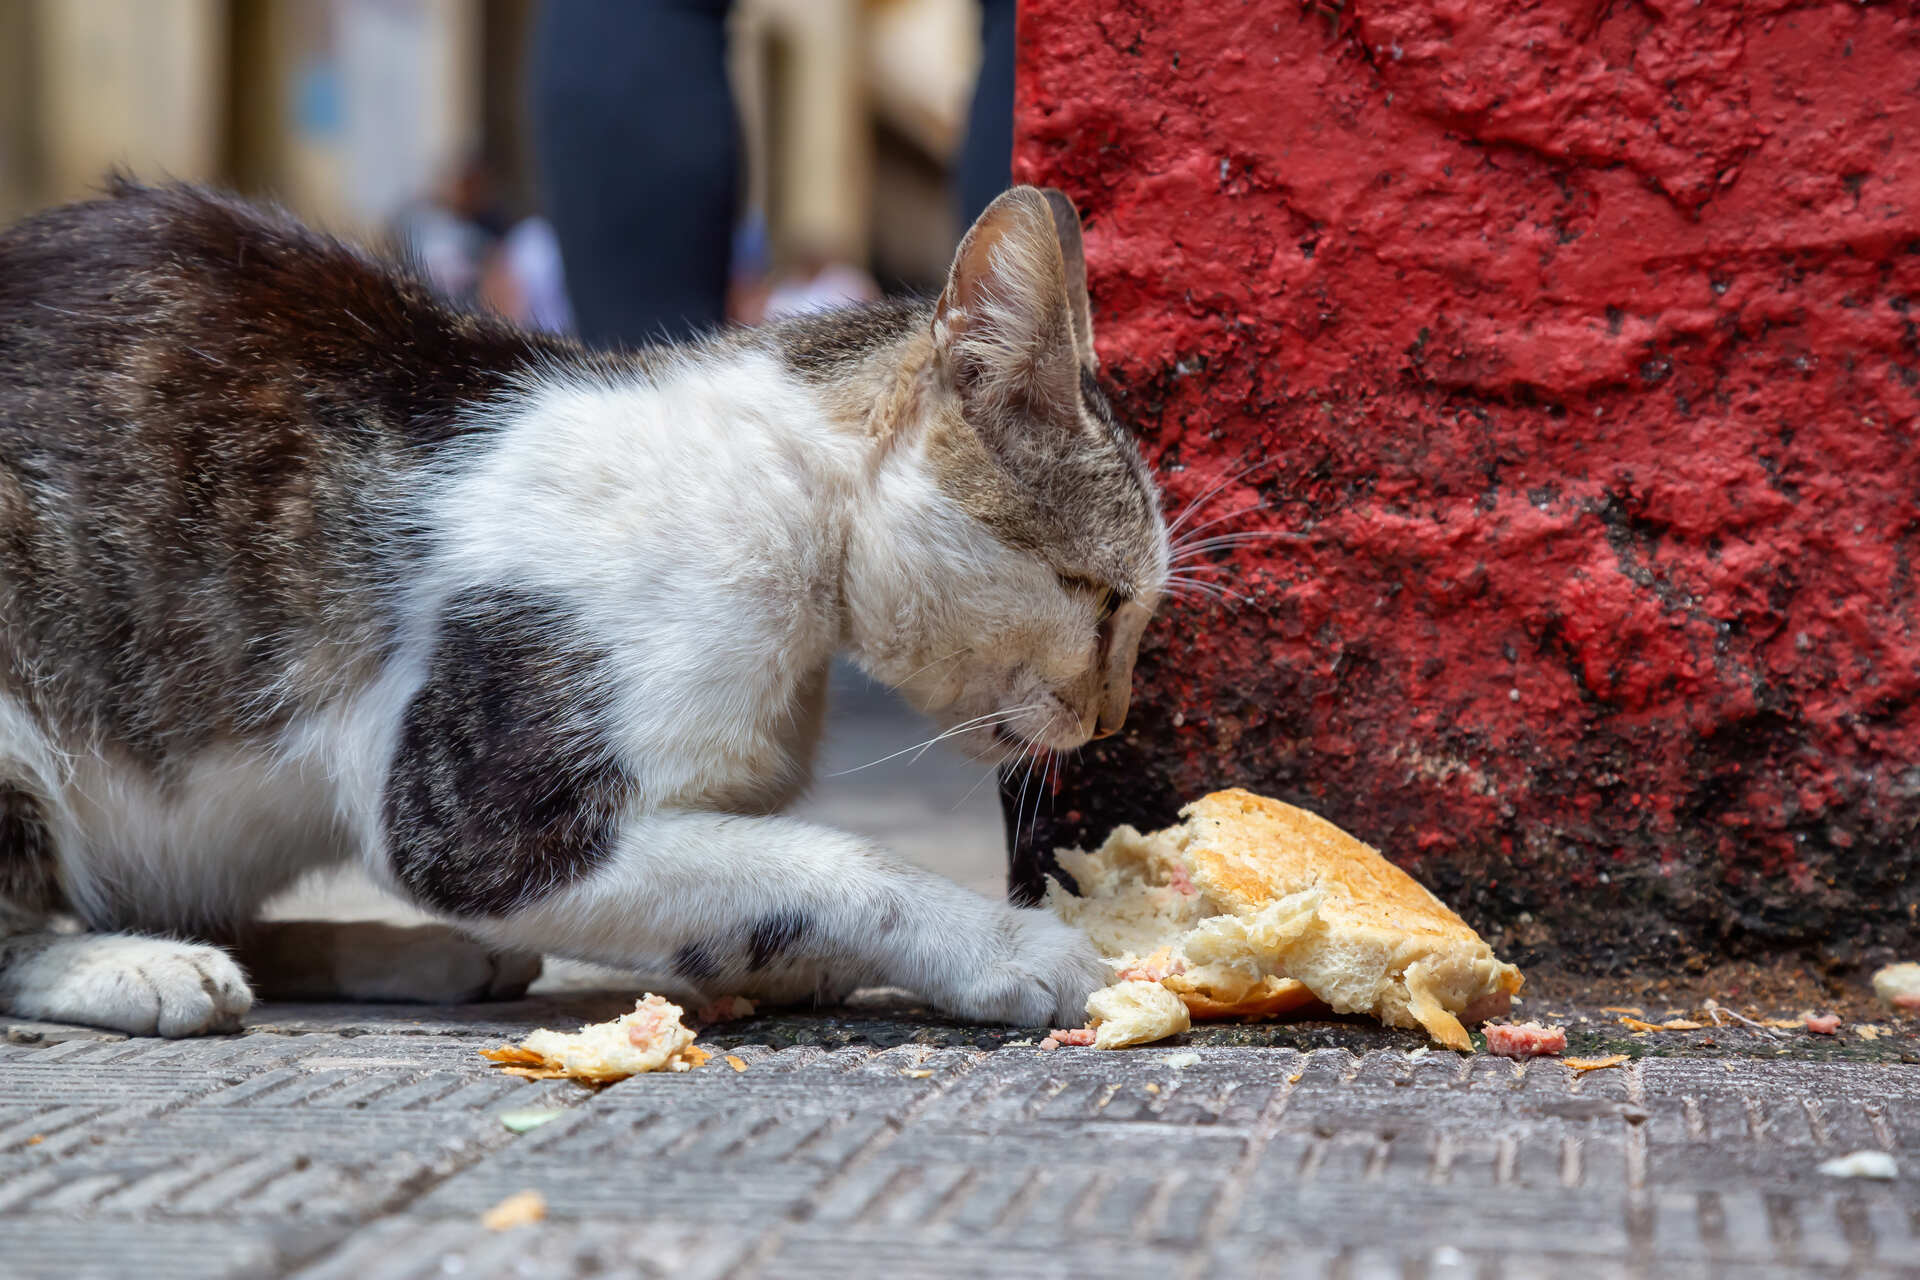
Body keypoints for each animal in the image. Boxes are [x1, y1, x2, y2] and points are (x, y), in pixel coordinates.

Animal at [0, 180, 1167, 1036]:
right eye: (1104, 599)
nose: (1111, 715)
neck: (794, 525)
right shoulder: (473, 822)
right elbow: (832, 860)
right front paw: (1009, 946)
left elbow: (756, 878)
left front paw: (779, 963)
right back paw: (139, 965)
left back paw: (412, 954)